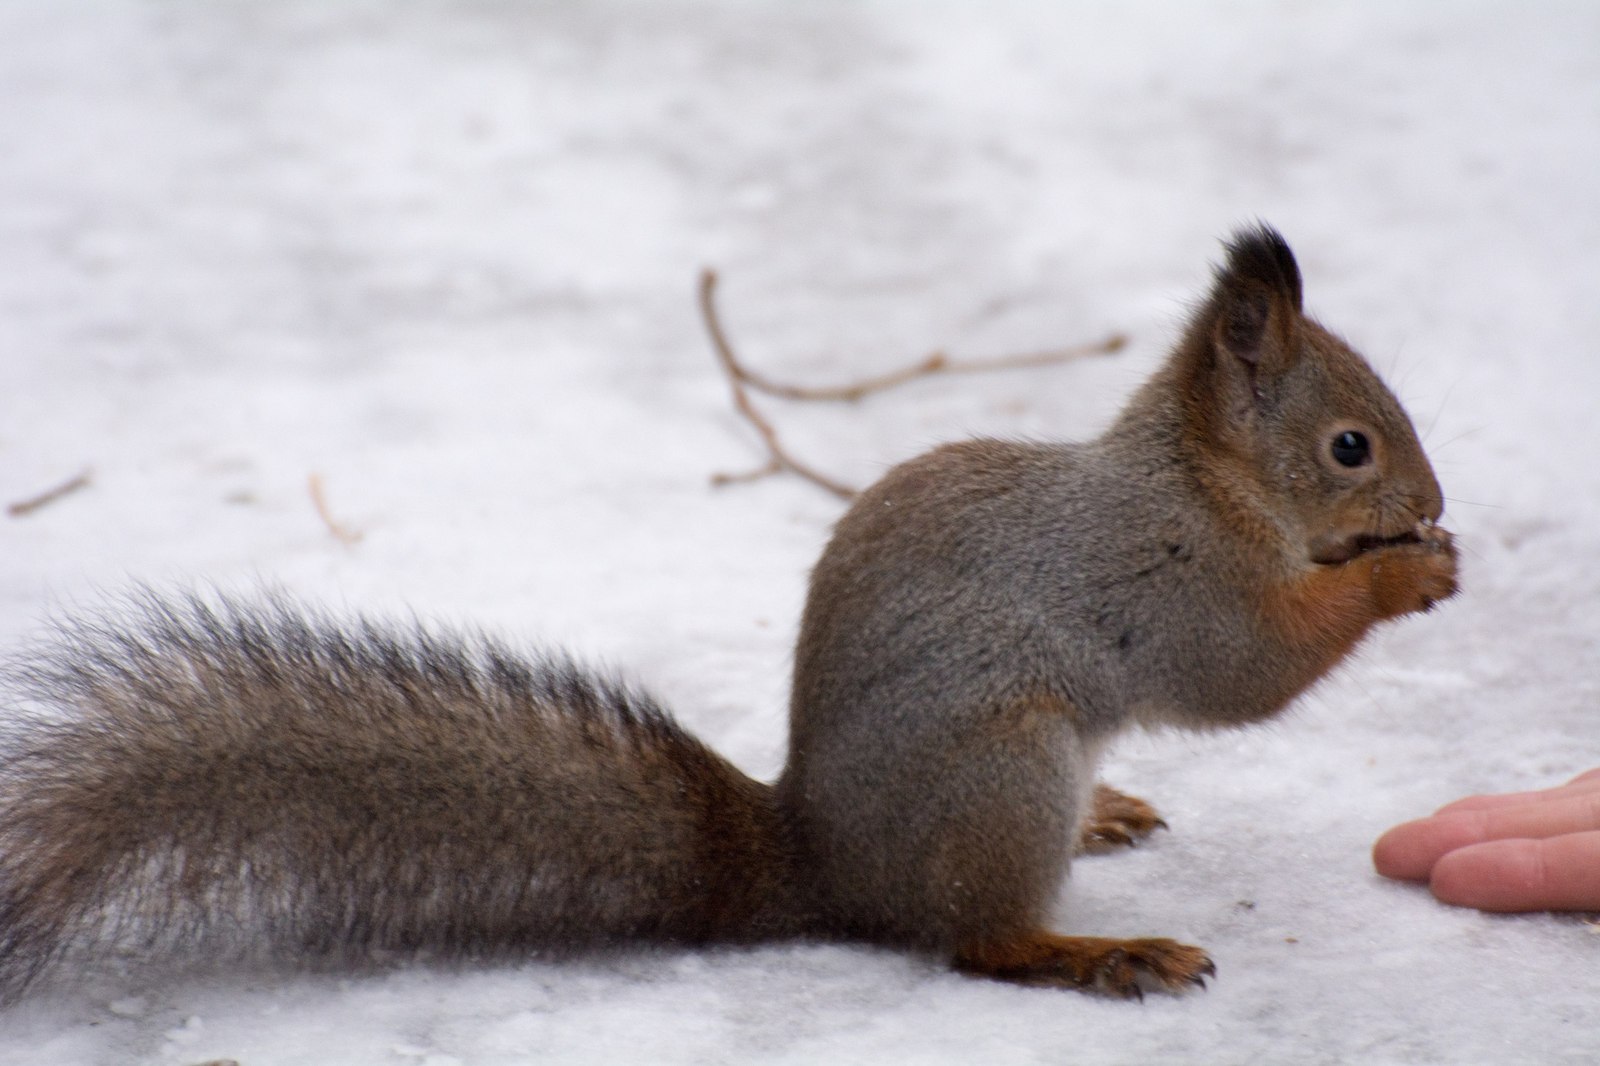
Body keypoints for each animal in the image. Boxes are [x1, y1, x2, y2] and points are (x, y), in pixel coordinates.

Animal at [0, 224, 1459, 998]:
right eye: (1348, 447)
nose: (1436, 498)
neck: (1201, 482)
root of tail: (818, 856)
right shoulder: (1167, 577)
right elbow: (1246, 670)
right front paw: (1405, 574)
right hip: (1000, 767)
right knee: (969, 937)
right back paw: (1093, 950)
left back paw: (1103, 822)